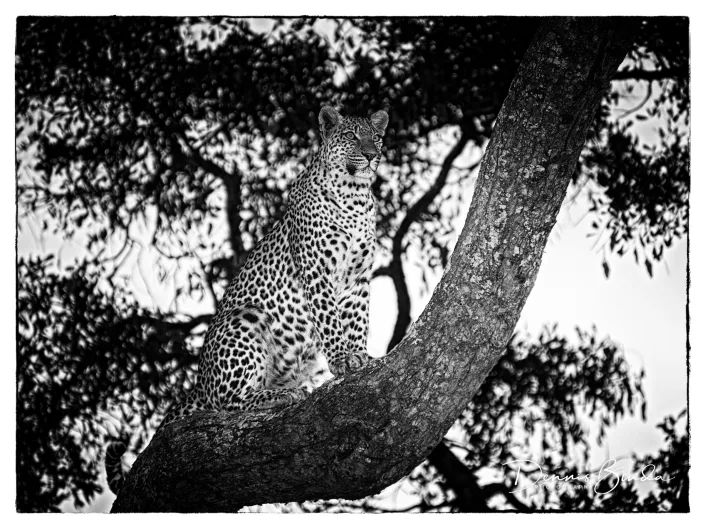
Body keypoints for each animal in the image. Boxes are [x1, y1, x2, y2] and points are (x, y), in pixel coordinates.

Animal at [106, 106, 389, 495]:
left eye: (375, 137)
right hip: (245, 320)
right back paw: (280, 396)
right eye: (349, 136)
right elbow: (330, 320)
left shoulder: (358, 279)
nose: (372, 155)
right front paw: (343, 360)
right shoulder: (316, 270)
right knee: (228, 404)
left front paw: (360, 356)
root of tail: (199, 382)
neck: (355, 197)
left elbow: (357, 319)